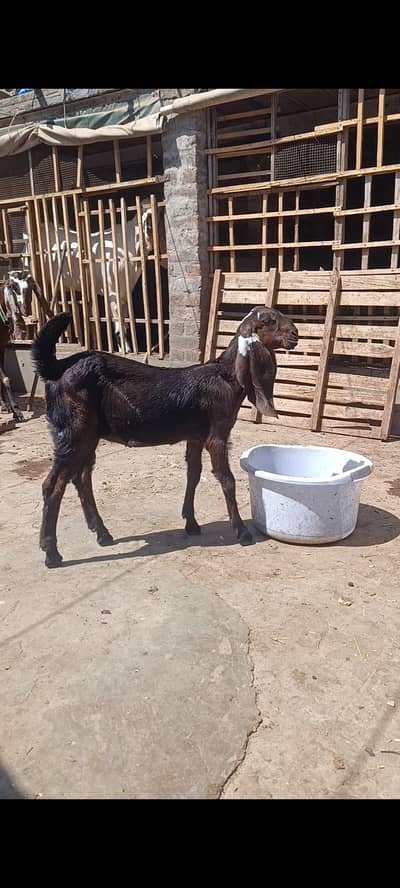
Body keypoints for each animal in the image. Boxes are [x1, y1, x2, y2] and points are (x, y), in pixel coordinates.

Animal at [31, 306, 298, 568]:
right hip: (73, 431)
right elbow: (227, 479)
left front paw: (191, 523)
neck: (226, 376)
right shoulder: (217, 434)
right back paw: (51, 553)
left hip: (88, 435)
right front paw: (242, 532)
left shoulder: (195, 436)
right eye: (269, 320)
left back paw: (102, 533)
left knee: (81, 478)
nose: (295, 333)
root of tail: (56, 368)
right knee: (53, 486)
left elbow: (193, 475)